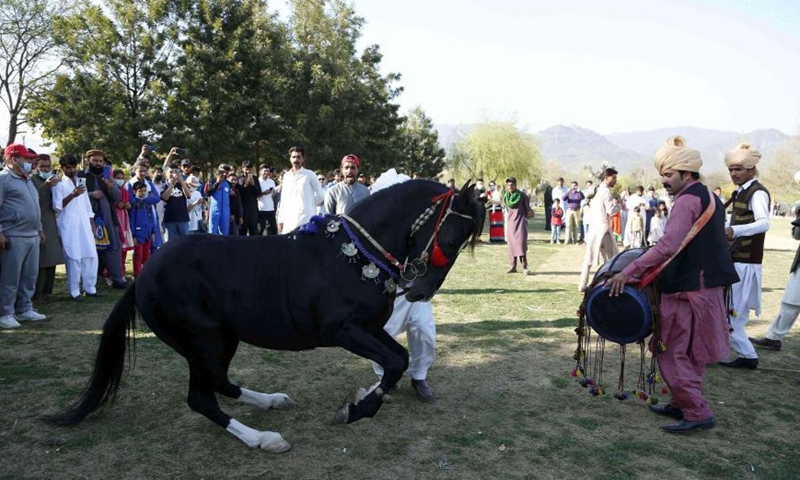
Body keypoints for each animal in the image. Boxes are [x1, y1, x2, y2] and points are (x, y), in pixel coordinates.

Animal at [52, 180, 485, 452]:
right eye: (449, 240)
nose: (420, 291)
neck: (355, 255)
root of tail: (143, 275)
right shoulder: (344, 331)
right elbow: (394, 363)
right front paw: (356, 410)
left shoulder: (370, 329)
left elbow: (400, 358)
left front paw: (361, 400)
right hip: (204, 340)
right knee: (201, 398)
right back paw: (265, 439)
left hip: (222, 339)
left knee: (220, 384)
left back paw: (273, 401)